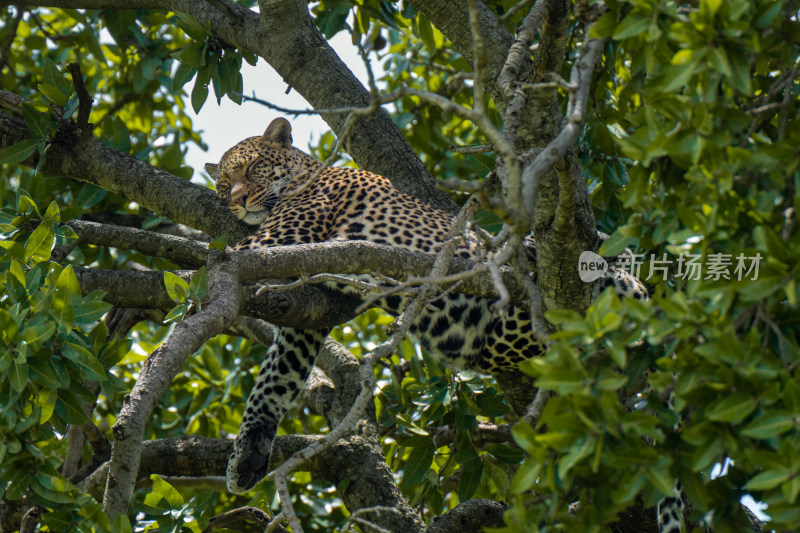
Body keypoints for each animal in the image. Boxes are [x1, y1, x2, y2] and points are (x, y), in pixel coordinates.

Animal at [205, 116, 664, 520]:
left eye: (251, 168)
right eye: (223, 185)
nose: (236, 201)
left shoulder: (275, 240)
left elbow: (210, 267)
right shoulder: (308, 315)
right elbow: (275, 379)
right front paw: (247, 455)